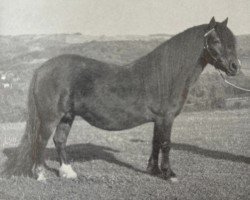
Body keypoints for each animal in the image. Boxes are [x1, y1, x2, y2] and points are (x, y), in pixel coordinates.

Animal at [1, 17, 240, 181]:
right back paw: (40, 175)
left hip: (67, 116)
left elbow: (155, 143)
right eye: (215, 40)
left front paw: (153, 170)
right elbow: (166, 144)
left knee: (59, 141)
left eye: (233, 40)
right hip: (50, 117)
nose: (235, 67)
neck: (166, 75)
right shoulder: (166, 118)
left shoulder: (159, 119)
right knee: (40, 141)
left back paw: (68, 172)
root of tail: (41, 68)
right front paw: (169, 174)